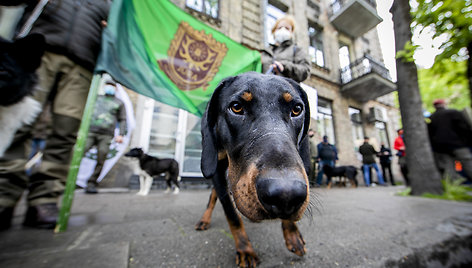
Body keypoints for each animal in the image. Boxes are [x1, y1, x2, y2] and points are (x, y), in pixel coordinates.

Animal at [194, 72, 312, 266]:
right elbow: (232, 215)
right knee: (213, 197)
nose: (286, 194)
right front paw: (245, 250)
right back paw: (204, 219)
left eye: (296, 109)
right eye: (236, 107)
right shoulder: (217, 170)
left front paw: (292, 234)